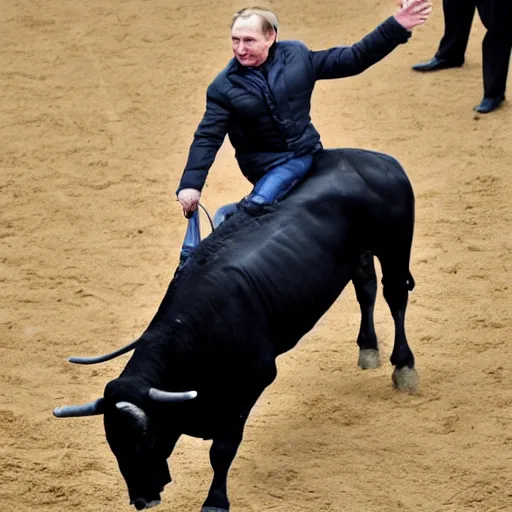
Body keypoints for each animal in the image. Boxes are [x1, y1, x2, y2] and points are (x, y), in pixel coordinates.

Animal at [53, 146, 420, 510]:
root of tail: (377, 159)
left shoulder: (251, 384)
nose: (142, 499)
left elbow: (222, 450)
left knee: (395, 294)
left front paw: (215, 500)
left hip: (395, 243)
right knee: (365, 285)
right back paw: (368, 348)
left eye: (145, 435)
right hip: (361, 251)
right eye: (111, 441)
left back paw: (404, 367)